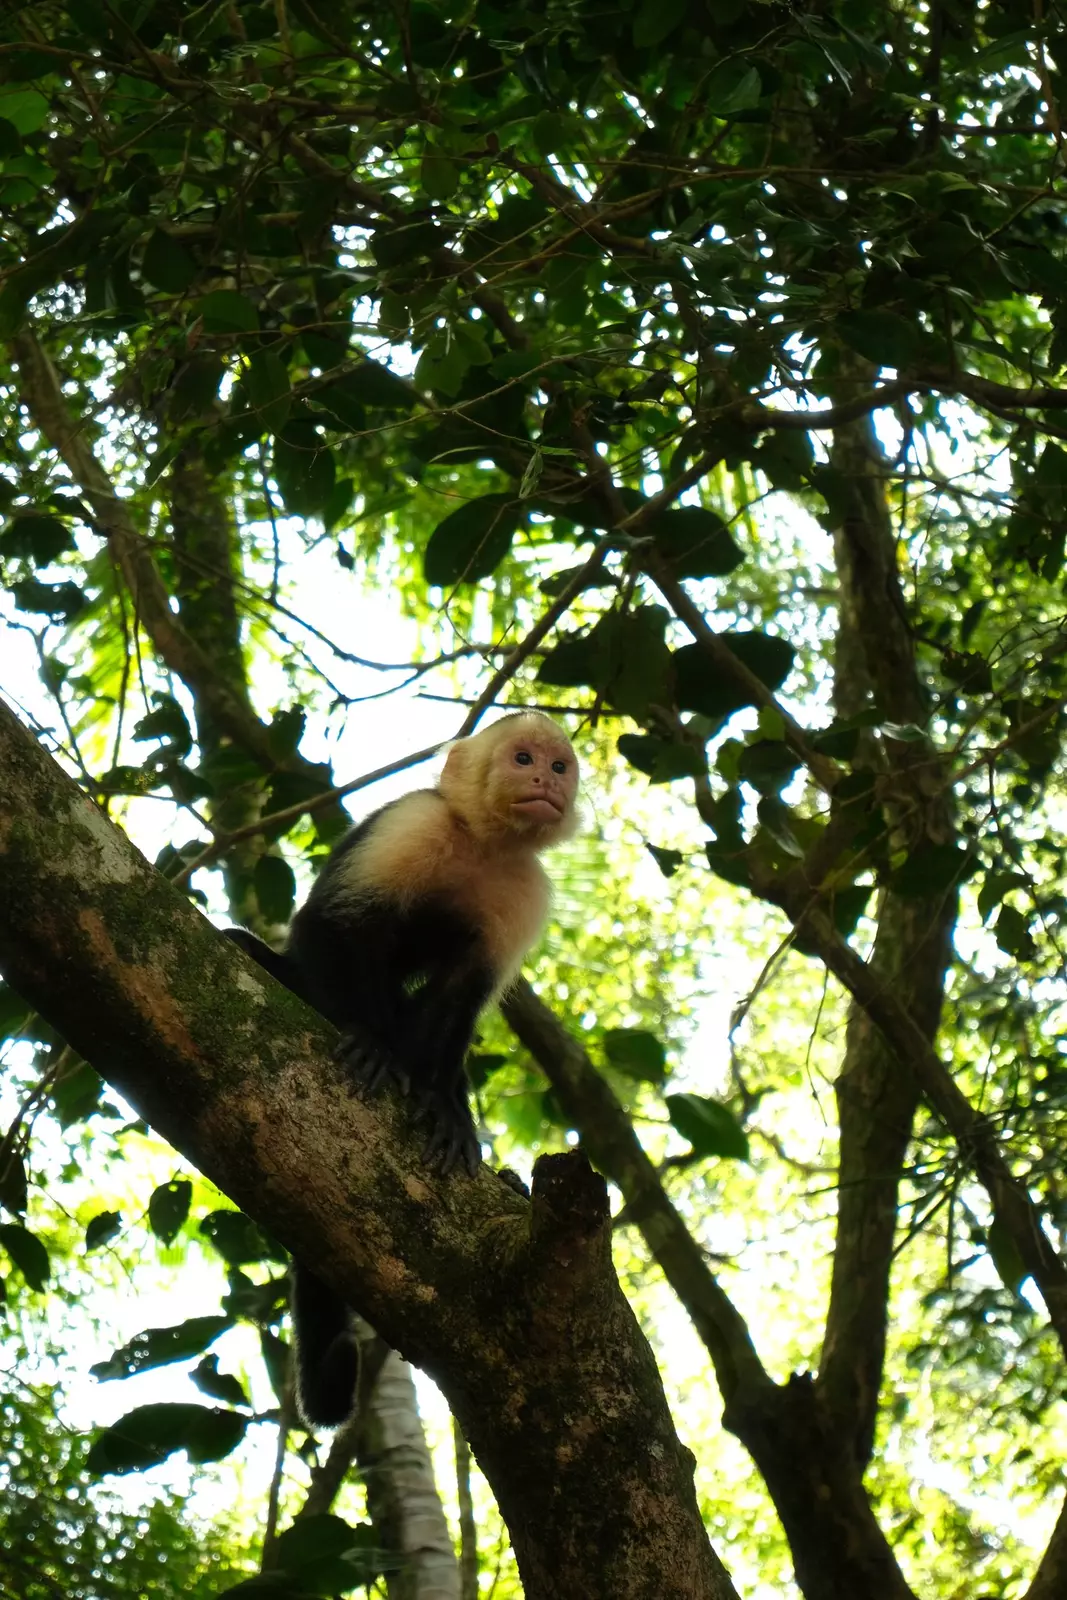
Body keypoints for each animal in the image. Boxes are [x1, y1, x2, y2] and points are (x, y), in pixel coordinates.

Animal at [224, 712, 579, 1424]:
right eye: (523, 758)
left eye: (559, 767)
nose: (544, 782)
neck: (484, 845)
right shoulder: (414, 824)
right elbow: (335, 924)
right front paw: (368, 1040)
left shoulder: (524, 891)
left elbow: (457, 1000)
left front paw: (443, 1105)